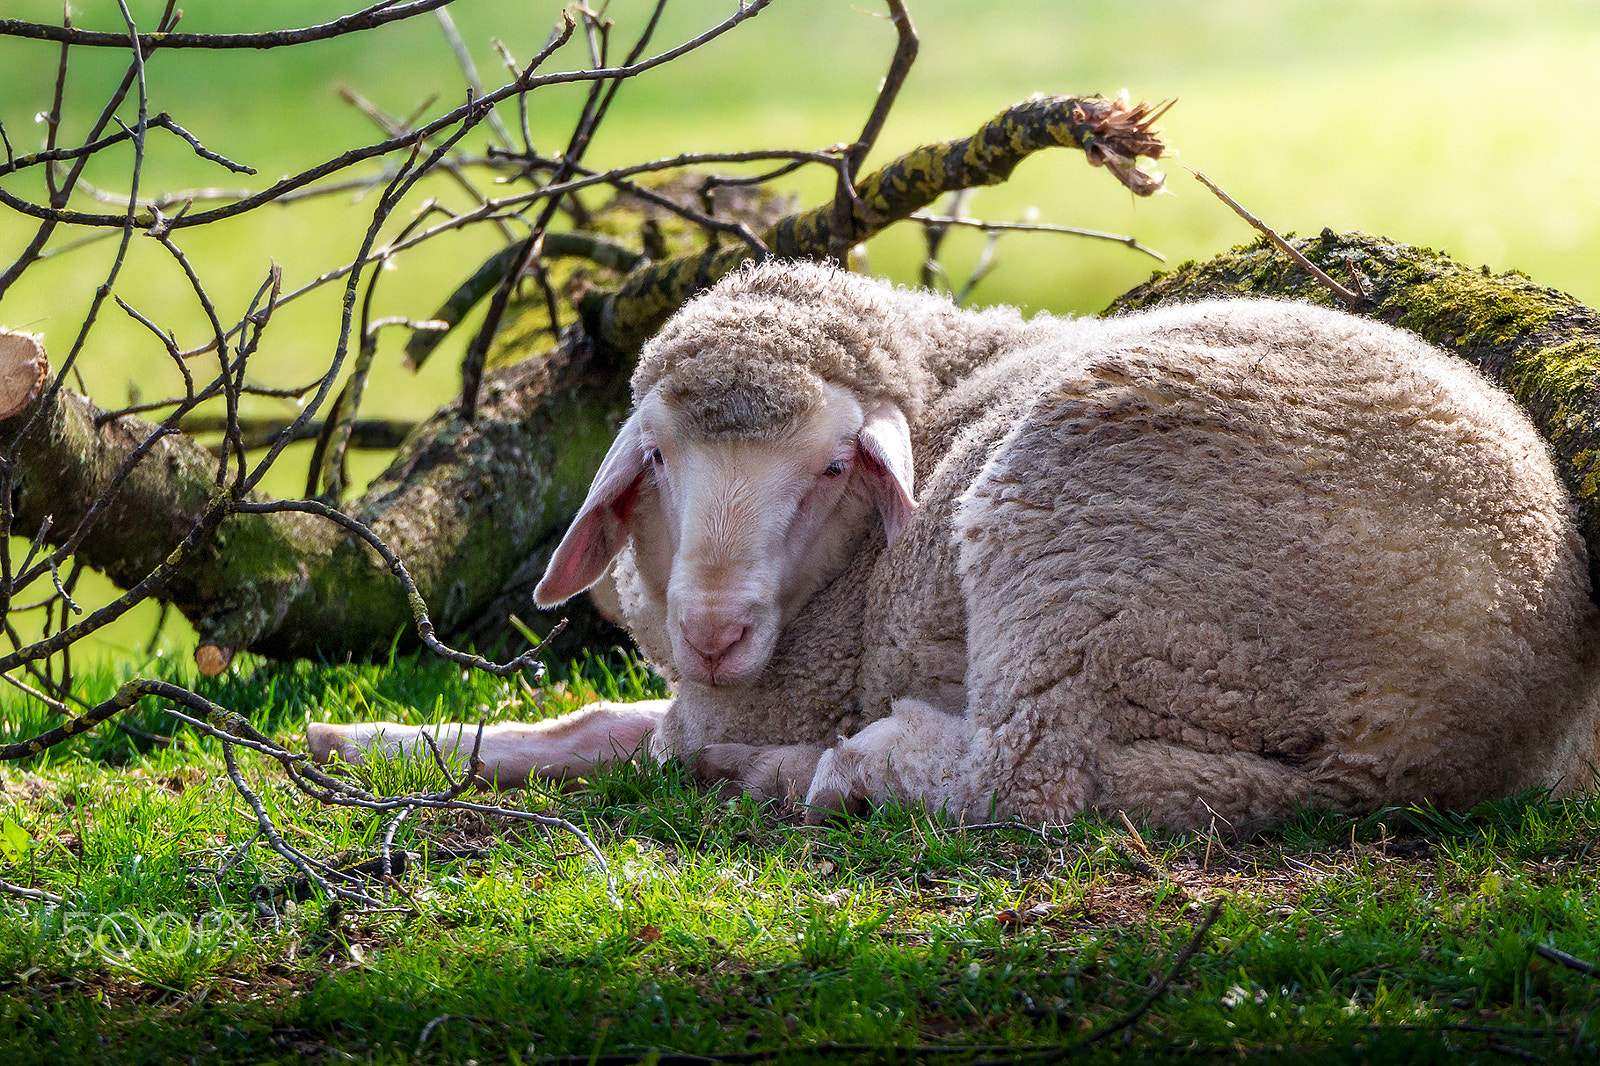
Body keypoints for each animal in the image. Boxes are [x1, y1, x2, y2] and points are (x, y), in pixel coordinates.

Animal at [308, 260, 1600, 834]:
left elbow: (632, 737)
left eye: (833, 467)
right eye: (659, 458)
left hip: (1086, 545)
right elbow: (585, 725)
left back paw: (835, 769)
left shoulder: (771, 687)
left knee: (1030, 778)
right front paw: (359, 741)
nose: (713, 630)